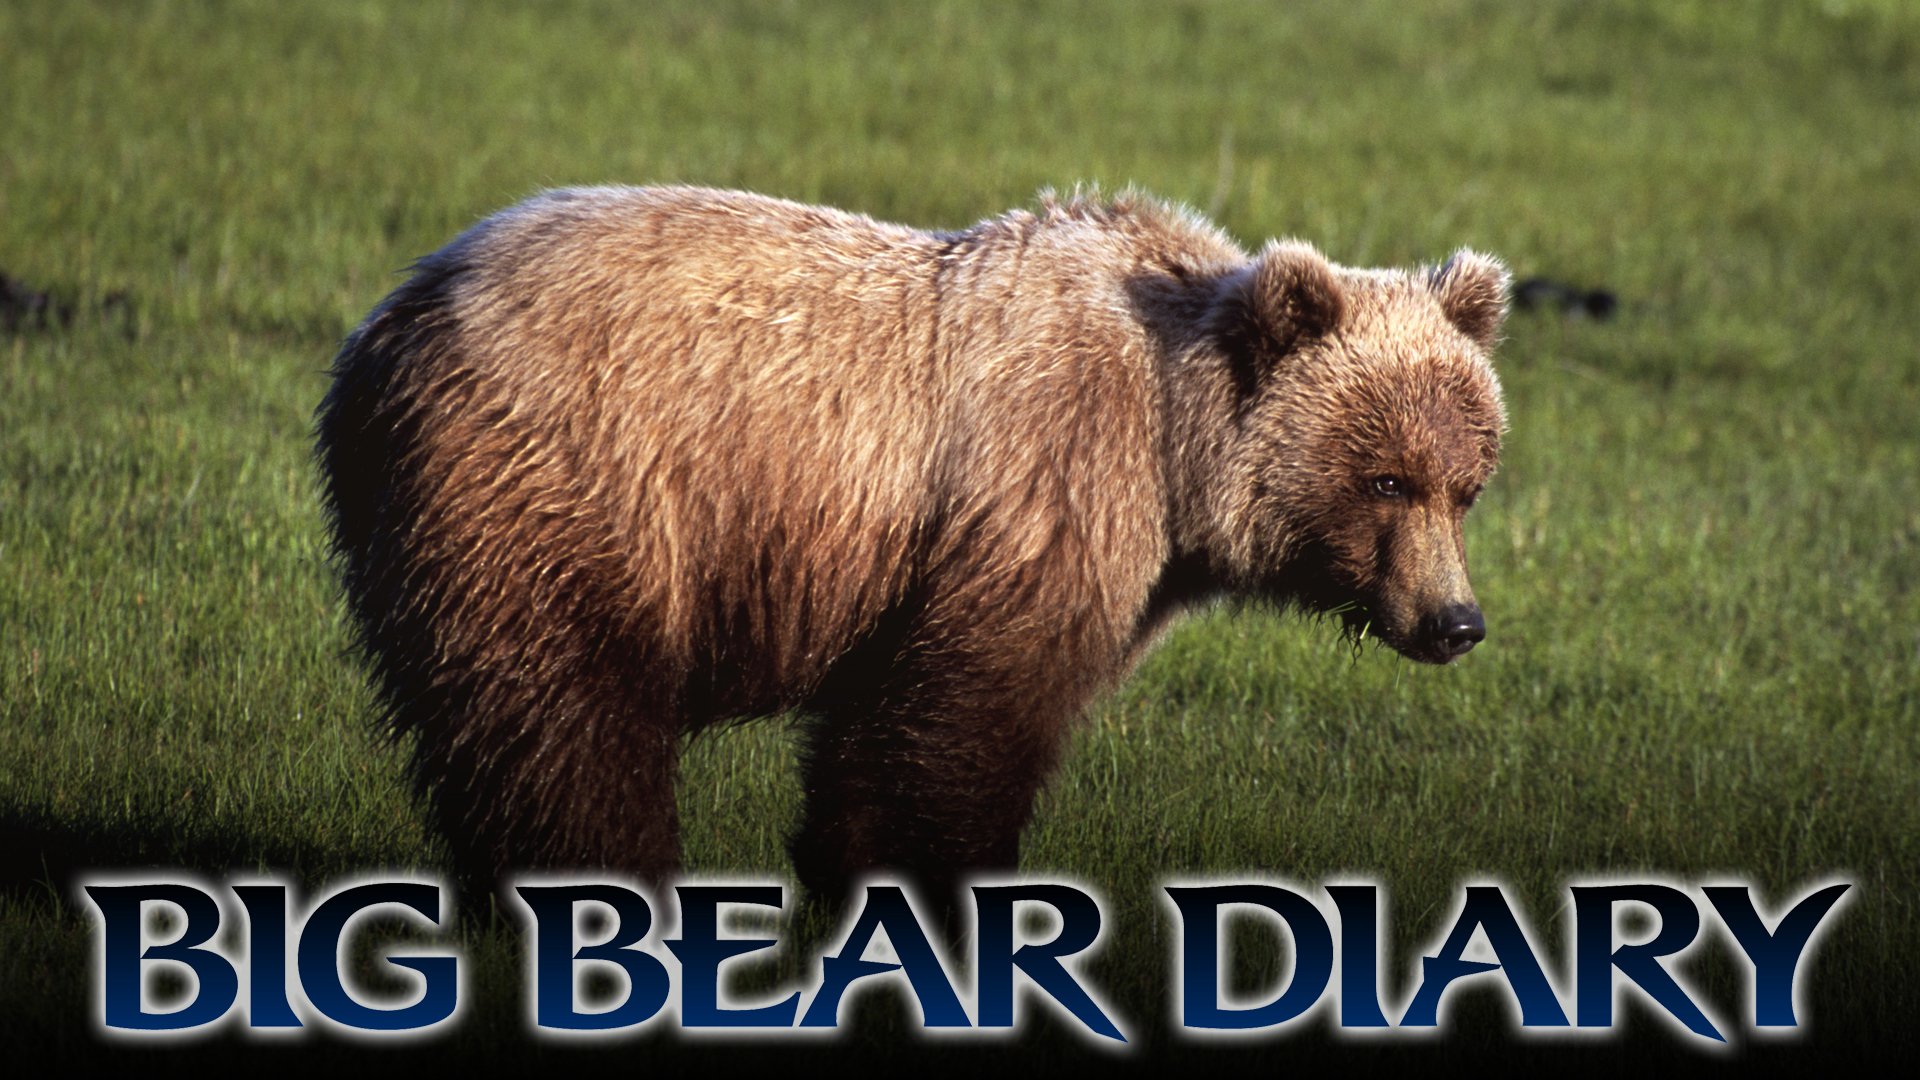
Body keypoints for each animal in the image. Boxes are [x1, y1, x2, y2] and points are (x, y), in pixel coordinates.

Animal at [315, 185, 1508, 905]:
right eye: (1385, 479)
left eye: (1468, 485)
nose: (1456, 621)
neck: (1175, 455)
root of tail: (391, 320)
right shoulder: (1044, 493)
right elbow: (958, 726)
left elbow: (879, 740)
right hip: (570, 488)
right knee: (565, 715)